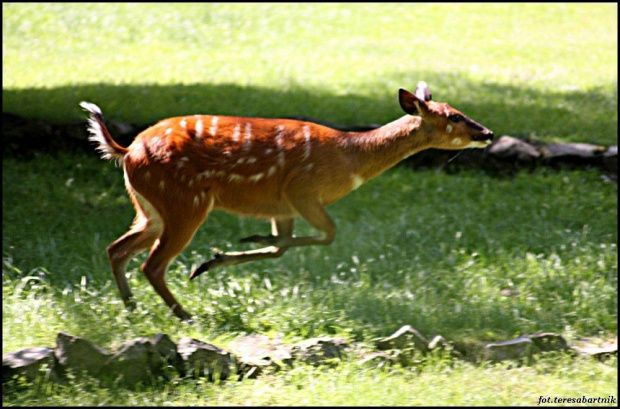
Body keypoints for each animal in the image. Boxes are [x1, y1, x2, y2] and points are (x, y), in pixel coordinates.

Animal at [81, 82, 494, 318]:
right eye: (454, 116)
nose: (488, 133)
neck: (348, 159)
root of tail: (127, 149)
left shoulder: (283, 205)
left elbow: (283, 246)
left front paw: (222, 256)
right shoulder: (302, 189)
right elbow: (328, 234)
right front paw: (222, 254)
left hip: (150, 208)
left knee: (117, 248)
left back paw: (132, 307)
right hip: (184, 201)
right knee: (151, 263)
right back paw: (184, 314)